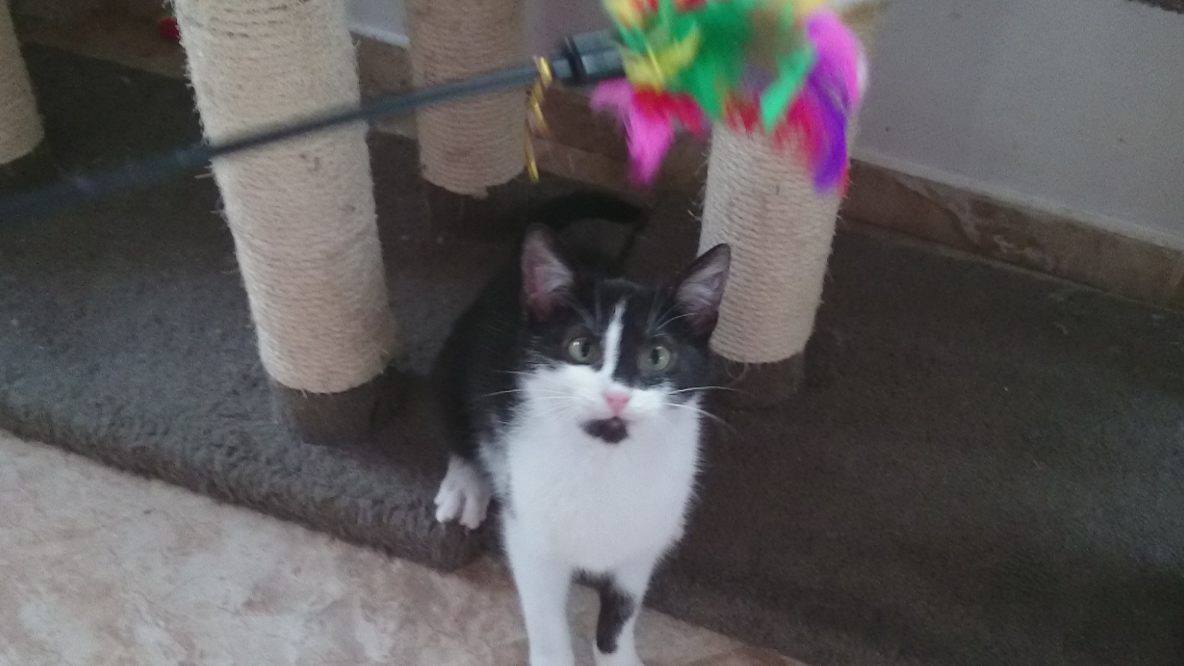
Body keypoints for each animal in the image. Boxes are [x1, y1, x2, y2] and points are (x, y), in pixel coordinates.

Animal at [433, 194, 730, 666]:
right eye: (581, 348)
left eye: (658, 356)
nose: (616, 396)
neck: (604, 460)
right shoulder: (531, 538)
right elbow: (545, 618)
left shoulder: (635, 553)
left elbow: (621, 612)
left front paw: (619, 657)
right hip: (453, 364)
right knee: (460, 428)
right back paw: (466, 484)